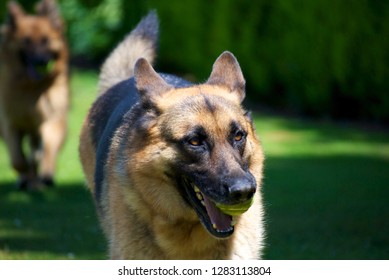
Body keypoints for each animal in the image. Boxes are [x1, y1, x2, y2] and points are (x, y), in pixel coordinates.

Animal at [0, 0, 69, 190]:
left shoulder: (53, 118)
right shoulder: (10, 123)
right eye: (26, 41)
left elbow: (49, 146)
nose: (41, 61)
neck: (31, 88)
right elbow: (17, 159)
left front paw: (46, 172)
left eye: (46, 40)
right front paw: (25, 174)